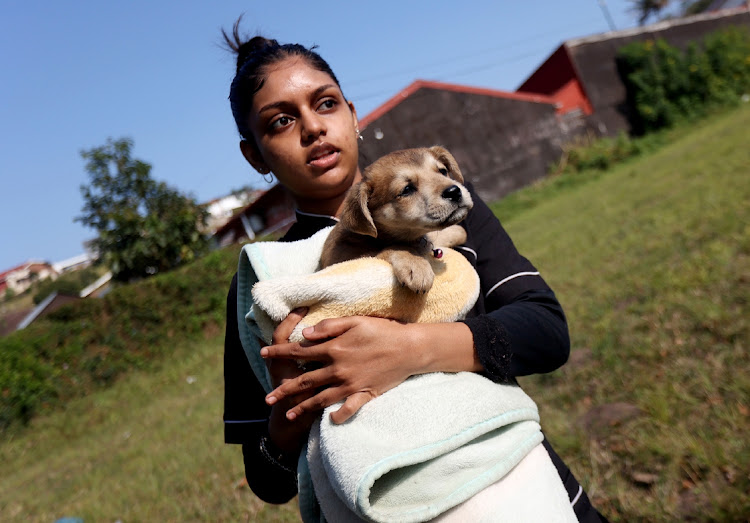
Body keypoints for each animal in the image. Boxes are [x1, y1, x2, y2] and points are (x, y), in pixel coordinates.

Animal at [318, 146, 472, 294]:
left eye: (443, 171)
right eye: (407, 190)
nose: (454, 191)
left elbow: (454, 232)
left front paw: (456, 232)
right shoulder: (351, 259)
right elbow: (395, 247)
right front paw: (416, 264)